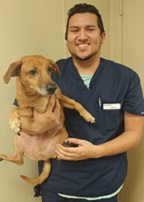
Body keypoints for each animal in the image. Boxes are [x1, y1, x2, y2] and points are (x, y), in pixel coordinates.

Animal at [0, 55, 95, 186]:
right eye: (32, 72)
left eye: (49, 70)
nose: (52, 88)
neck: (34, 95)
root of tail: (43, 156)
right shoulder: (31, 110)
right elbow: (15, 108)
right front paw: (14, 123)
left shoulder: (60, 99)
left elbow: (76, 103)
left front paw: (88, 115)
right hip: (18, 139)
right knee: (19, 160)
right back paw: (1, 155)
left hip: (61, 136)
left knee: (56, 156)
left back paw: (67, 145)